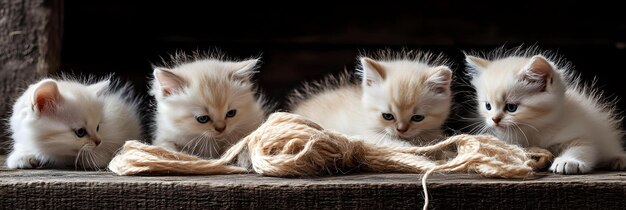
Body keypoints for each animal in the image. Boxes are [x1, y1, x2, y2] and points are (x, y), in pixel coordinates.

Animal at [464, 47, 624, 174]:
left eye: (511, 107)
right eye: (488, 106)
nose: (495, 119)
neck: (535, 129)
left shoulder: (582, 132)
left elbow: (582, 147)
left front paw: (568, 161)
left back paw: (618, 159)